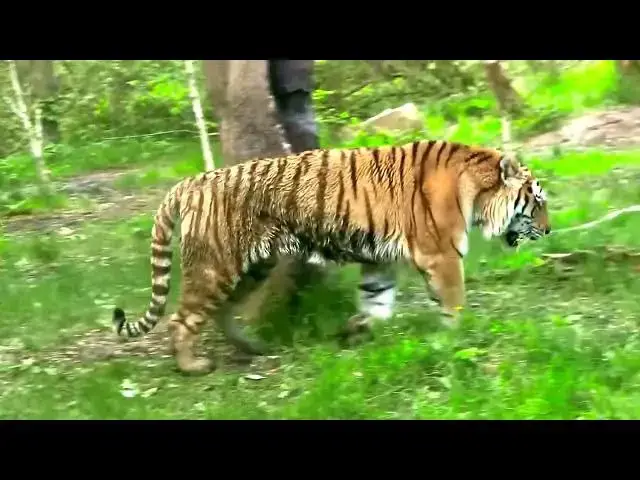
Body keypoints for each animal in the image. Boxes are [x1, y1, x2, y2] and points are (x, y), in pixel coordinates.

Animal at [113, 139, 551, 375]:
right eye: (538, 201)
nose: (549, 231)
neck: (476, 190)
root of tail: (188, 183)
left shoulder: (380, 261)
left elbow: (378, 303)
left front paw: (358, 329)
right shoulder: (441, 255)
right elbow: (455, 302)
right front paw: (461, 338)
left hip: (253, 267)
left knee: (222, 314)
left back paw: (253, 347)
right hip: (215, 266)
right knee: (181, 320)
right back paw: (192, 366)